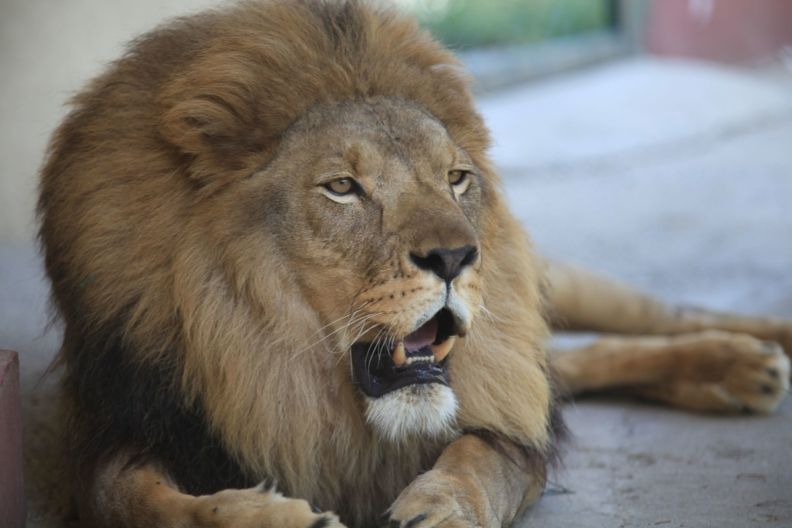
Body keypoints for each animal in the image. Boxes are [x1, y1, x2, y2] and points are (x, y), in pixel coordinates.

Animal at [37, 1, 791, 527]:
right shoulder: (114, 422)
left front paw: (444, 506)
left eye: (456, 178)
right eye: (342, 187)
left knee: (656, 318)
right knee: (574, 363)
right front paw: (273, 517)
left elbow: (482, 459)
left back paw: (747, 355)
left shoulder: (502, 412)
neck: (272, 369)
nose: (457, 256)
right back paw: (731, 373)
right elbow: (132, 499)